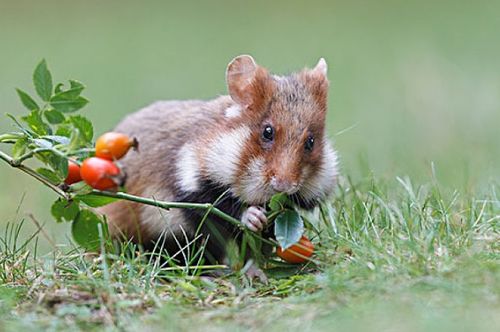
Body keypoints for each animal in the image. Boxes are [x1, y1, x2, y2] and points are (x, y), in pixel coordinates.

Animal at [99, 55, 338, 278]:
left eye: (311, 142)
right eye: (267, 132)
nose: (284, 186)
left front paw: (257, 272)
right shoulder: (190, 191)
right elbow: (221, 208)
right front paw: (254, 217)